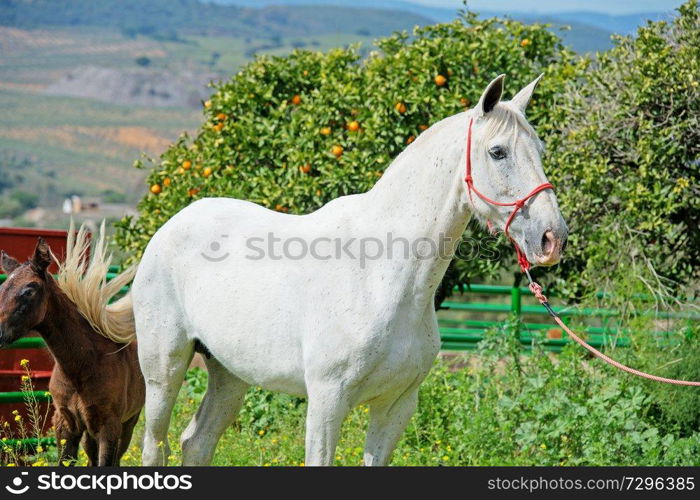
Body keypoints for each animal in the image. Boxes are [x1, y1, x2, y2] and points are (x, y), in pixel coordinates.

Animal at [130, 73, 568, 464]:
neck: (383, 276)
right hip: (164, 369)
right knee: (155, 446)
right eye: (498, 152)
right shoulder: (328, 402)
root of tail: (171, 226)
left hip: (229, 373)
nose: (552, 238)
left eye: (542, 150)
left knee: (197, 443)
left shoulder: (396, 406)